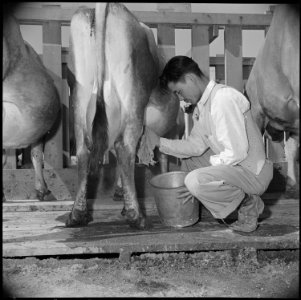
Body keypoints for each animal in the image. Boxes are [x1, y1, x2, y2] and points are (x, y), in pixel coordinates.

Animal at [66, 2, 183, 229]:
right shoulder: (168, 132)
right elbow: (163, 158)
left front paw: (120, 193)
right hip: (133, 99)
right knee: (124, 148)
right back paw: (136, 216)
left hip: (79, 100)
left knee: (83, 152)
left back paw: (78, 215)